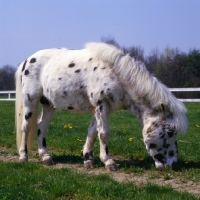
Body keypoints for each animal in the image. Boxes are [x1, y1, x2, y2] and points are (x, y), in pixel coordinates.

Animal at [15, 42, 188, 170]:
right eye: (170, 132)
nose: (172, 164)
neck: (117, 76)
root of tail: (27, 61)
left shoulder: (98, 109)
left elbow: (92, 132)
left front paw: (88, 160)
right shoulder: (102, 106)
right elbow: (103, 134)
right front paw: (109, 162)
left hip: (49, 104)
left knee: (41, 127)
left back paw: (46, 157)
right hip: (30, 101)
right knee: (26, 127)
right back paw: (23, 156)